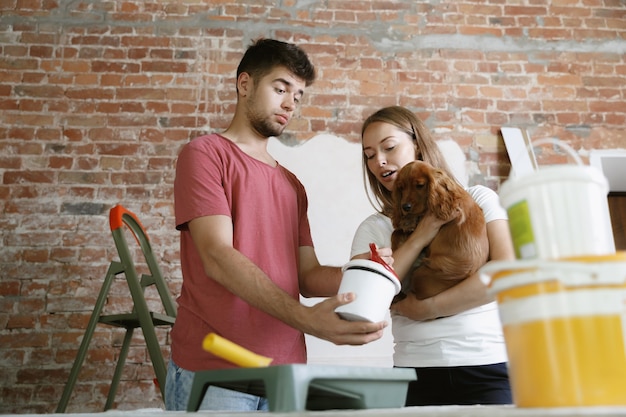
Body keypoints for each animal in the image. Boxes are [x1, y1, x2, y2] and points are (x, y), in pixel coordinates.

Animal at [390, 159, 488, 300]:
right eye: (401, 188)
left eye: (420, 185)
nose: (405, 207)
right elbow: (396, 232)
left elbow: (396, 232)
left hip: (420, 275)